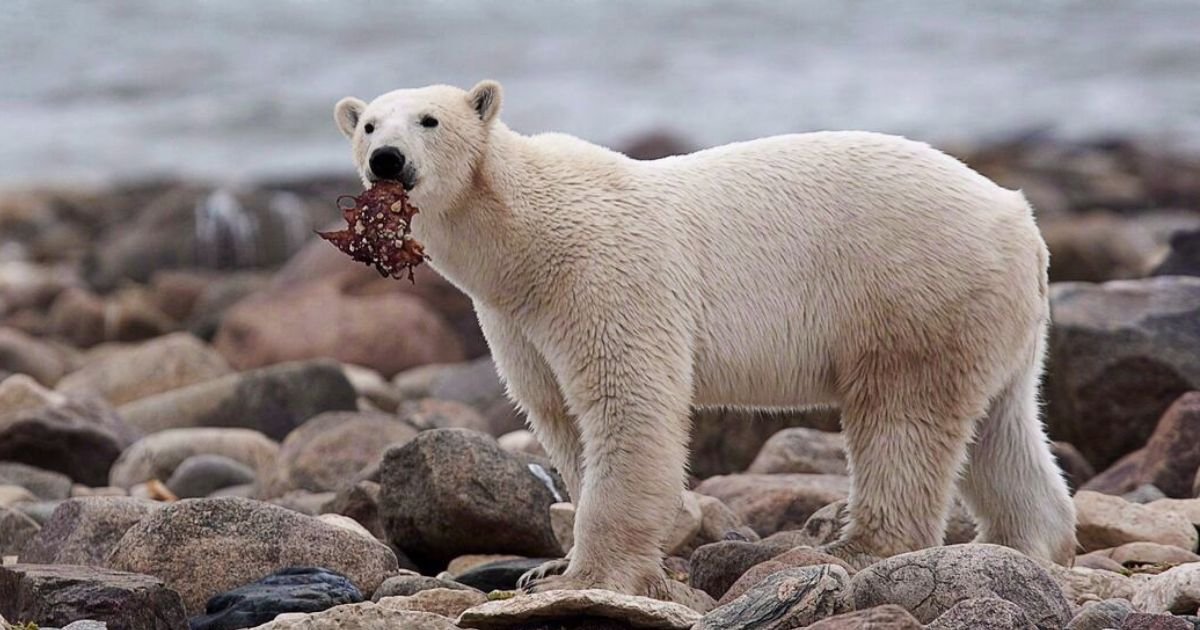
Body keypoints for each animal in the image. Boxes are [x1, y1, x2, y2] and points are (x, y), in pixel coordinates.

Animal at [333, 80, 1077, 597]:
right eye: (368, 124)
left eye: (429, 119)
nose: (388, 159)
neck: (524, 237)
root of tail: (1020, 218)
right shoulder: (517, 319)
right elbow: (558, 415)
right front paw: (547, 570)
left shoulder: (604, 276)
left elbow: (627, 404)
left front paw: (586, 575)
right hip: (990, 316)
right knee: (1003, 428)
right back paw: (1028, 545)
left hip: (912, 289)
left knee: (902, 419)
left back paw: (857, 548)